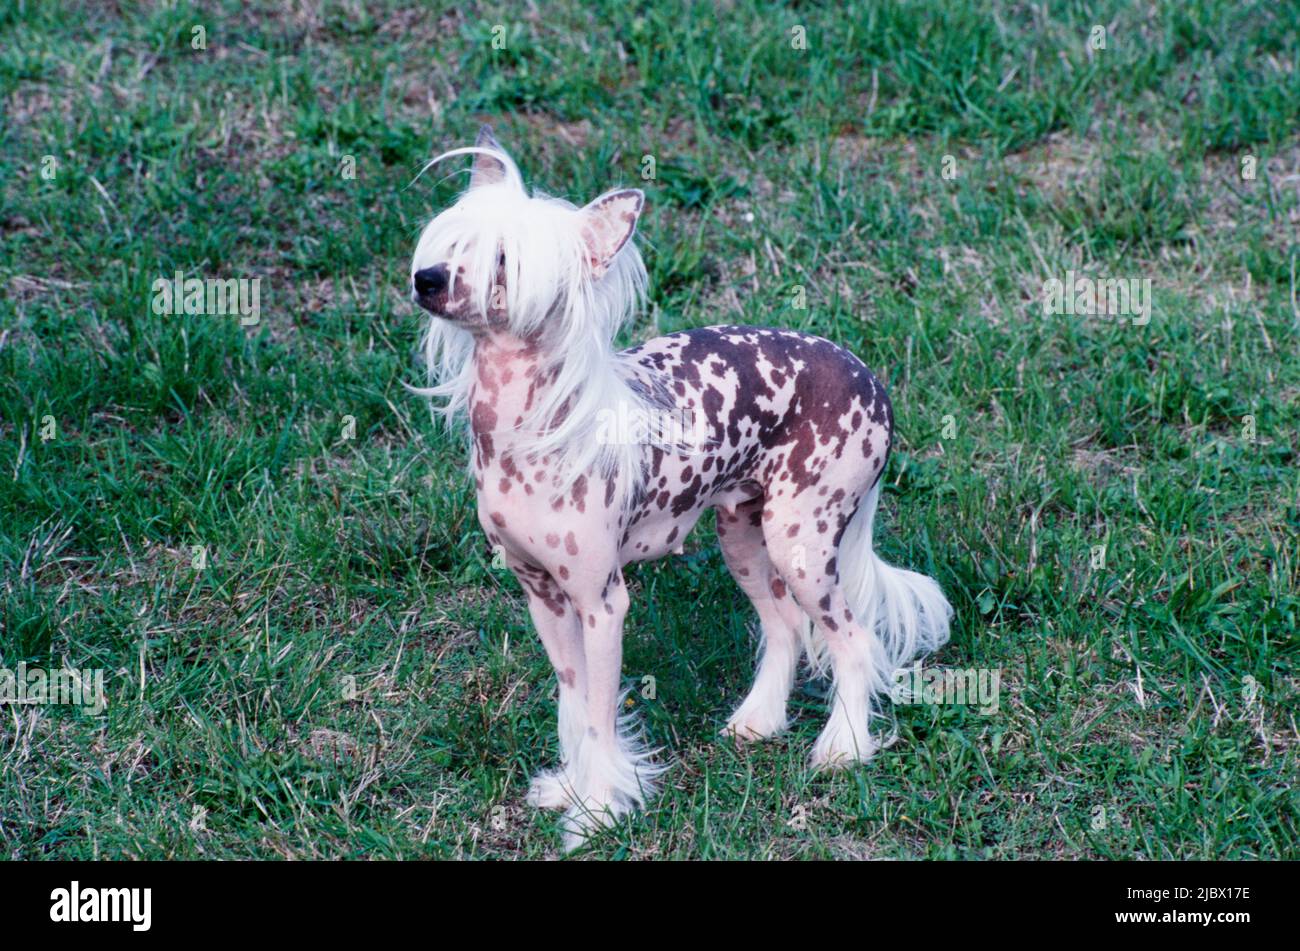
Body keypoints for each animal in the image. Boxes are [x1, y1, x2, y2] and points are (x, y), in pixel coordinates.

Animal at [410, 129, 951, 852]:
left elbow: (599, 713)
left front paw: (599, 810)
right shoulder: (543, 597)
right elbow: (572, 704)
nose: (427, 279)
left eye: (505, 260)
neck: (529, 430)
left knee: (852, 639)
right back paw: (759, 720)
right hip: (744, 536)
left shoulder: (602, 604)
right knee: (784, 628)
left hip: (802, 544)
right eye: (454, 243)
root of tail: (870, 377)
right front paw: (570, 789)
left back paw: (844, 747)